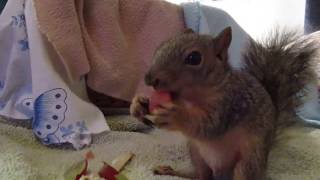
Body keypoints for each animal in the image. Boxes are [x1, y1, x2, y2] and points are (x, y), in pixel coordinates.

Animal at [130, 27, 318, 180]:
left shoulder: (231, 103)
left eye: (194, 58)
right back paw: (172, 171)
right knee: (200, 176)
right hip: (196, 153)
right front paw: (139, 104)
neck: (191, 98)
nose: (149, 79)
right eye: (160, 46)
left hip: (248, 161)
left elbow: (210, 125)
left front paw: (175, 117)